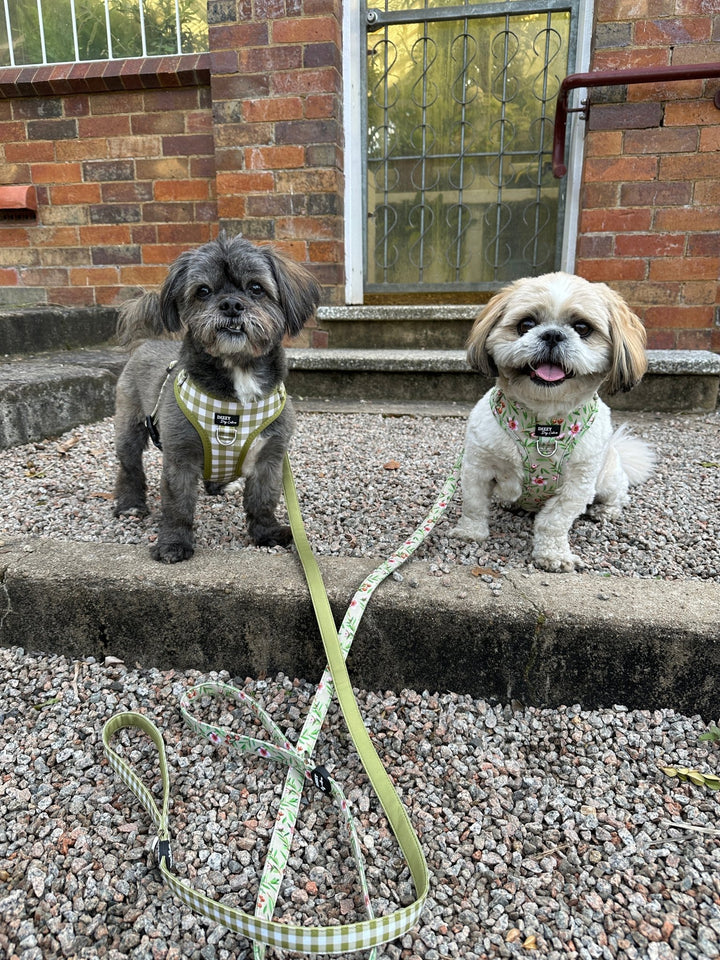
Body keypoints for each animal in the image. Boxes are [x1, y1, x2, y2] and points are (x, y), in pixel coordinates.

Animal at [113, 234, 320, 564]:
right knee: (130, 467)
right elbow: (177, 505)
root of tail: (145, 342)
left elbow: (263, 500)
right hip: (129, 428)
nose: (231, 304)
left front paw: (267, 533)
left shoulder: (270, 457)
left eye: (256, 288)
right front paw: (174, 543)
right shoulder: (180, 458)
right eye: (203, 291)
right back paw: (130, 504)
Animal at [452, 270, 656, 568]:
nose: (552, 334)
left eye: (582, 328)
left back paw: (605, 511)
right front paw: (470, 533)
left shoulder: (577, 485)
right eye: (526, 324)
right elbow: (474, 504)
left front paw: (552, 555)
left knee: (618, 494)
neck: (543, 423)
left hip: (607, 479)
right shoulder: (478, 467)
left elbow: (554, 521)